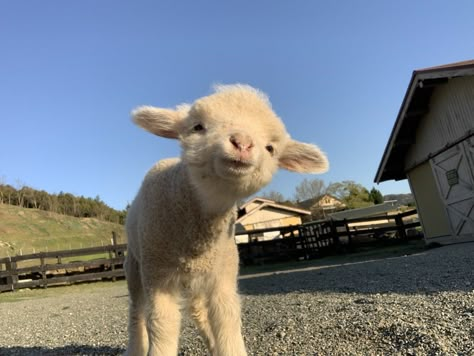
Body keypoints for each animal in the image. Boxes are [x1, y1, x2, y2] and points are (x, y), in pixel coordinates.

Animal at [124, 84, 328, 356]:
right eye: (198, 127)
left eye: (271, 148)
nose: (242, 143)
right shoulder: (157, 275)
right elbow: (162, 325)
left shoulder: (223, 274)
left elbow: (227, 320)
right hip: (136, 265)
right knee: (137, 312)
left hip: (198, 278)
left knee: (199, 310)